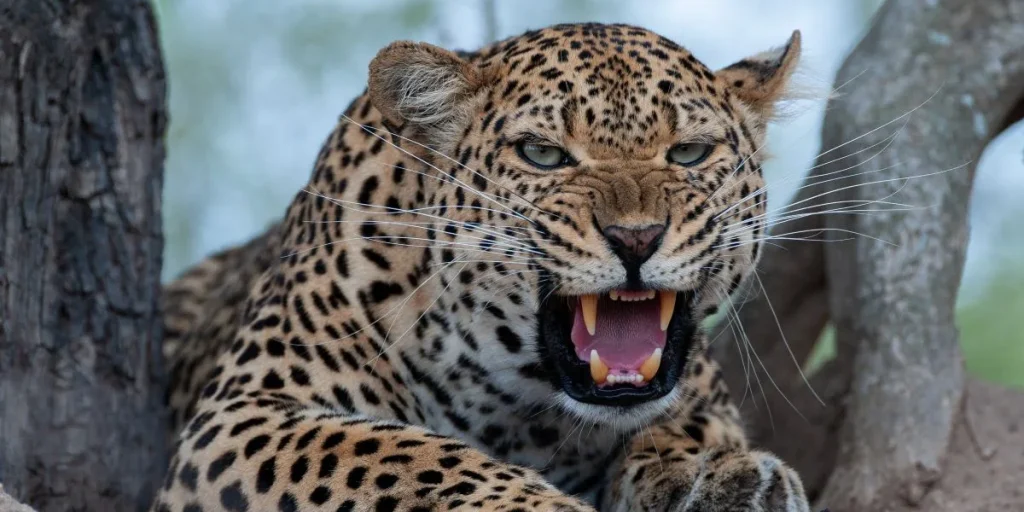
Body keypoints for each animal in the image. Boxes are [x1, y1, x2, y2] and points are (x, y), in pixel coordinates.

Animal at [153, 22, 812, 512]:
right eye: (542, 154)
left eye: (690, 153)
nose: (636, 238)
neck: (523, 413)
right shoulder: (244, 413)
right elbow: (407, 457)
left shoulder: (703, 401)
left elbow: (687, 429)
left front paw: (716, 475)